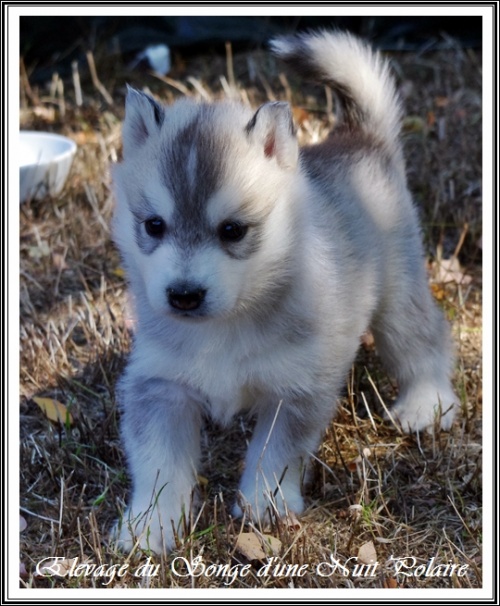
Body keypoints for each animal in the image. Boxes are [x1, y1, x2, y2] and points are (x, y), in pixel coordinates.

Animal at [111, 32, 458, 556]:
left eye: (233, 230)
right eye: (154, 225)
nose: (184, 296)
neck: (226, 326)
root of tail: (356, 138)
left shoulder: (296, 388)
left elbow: (274, 453)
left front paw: (264, 505)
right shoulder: (160, 385)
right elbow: (158, 465)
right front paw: (150, 526)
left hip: (398, 294)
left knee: (423, 337)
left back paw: (426, 402)